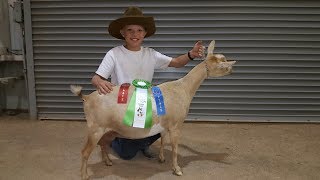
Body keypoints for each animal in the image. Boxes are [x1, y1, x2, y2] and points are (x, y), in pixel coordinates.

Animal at [70, 40, 235, 179]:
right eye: (222, 65)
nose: (231, 69)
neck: (183, 88)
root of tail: (87, 98)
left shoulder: (164, 125)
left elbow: (162, 139)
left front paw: (161, 158)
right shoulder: (176, 125)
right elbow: (175, 148)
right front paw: (177, 169)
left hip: (109, 130)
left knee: (103, 143)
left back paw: (108, 162)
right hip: (95, 128)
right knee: (85, 152)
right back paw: (84, 175)